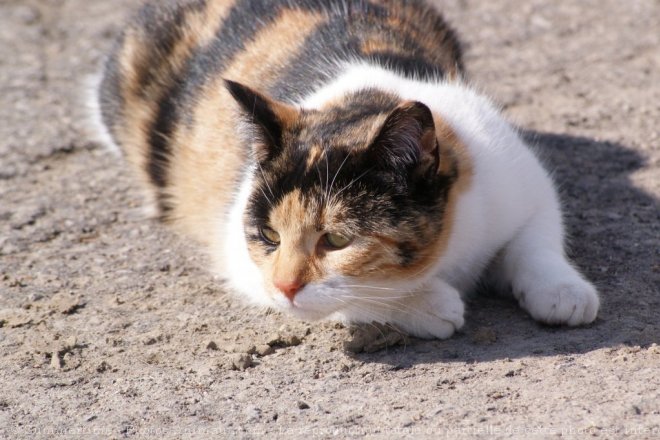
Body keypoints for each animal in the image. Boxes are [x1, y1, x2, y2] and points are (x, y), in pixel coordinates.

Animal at [90, 0, 600, 340]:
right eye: (270, 237)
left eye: (336, 239)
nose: (285, 285)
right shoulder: (239, 253)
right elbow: (349, 298)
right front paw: (428, 304)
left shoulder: (519, 176)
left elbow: (537, 240)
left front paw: (563, 291)